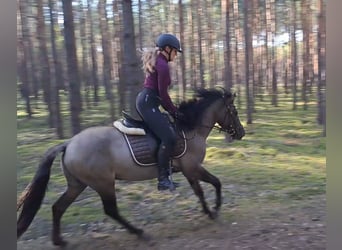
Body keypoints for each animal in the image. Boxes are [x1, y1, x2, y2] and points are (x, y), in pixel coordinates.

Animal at [16, 87, 246, 245]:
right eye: (234, 111)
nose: (241, 133)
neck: (190, 128)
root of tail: (69, 143)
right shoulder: (192, 167)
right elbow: (213, 184)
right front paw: (215, 209)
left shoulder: (189, 170)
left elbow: (202, 189)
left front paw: (210, 211)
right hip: (103, 183)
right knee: (110, 210)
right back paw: (139, 233)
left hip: (77, 184)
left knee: (58, 207)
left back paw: (59, 241)